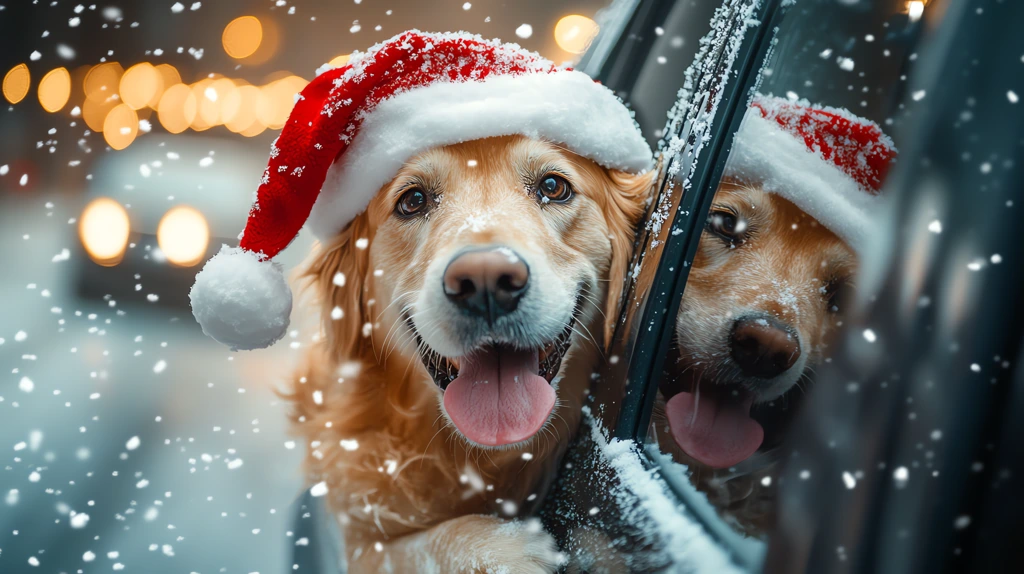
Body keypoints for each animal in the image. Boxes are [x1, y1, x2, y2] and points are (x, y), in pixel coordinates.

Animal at [286, 135, 647, 572]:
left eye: (553, 186)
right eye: (413, 200)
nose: (486, 281)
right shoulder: (352, 536)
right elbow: (401, 549)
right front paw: (499, 549)